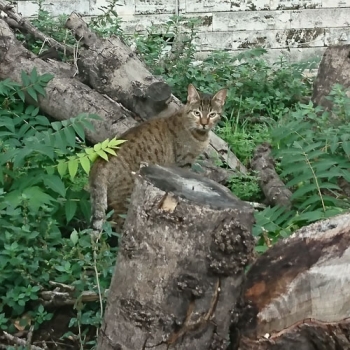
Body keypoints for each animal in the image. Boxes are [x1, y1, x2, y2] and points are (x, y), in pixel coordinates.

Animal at [89, 83, 228, 234]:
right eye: (197, 113)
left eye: (212, 114)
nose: (204, 123)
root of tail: (100, 162)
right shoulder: (183, 163)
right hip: (125, 198)